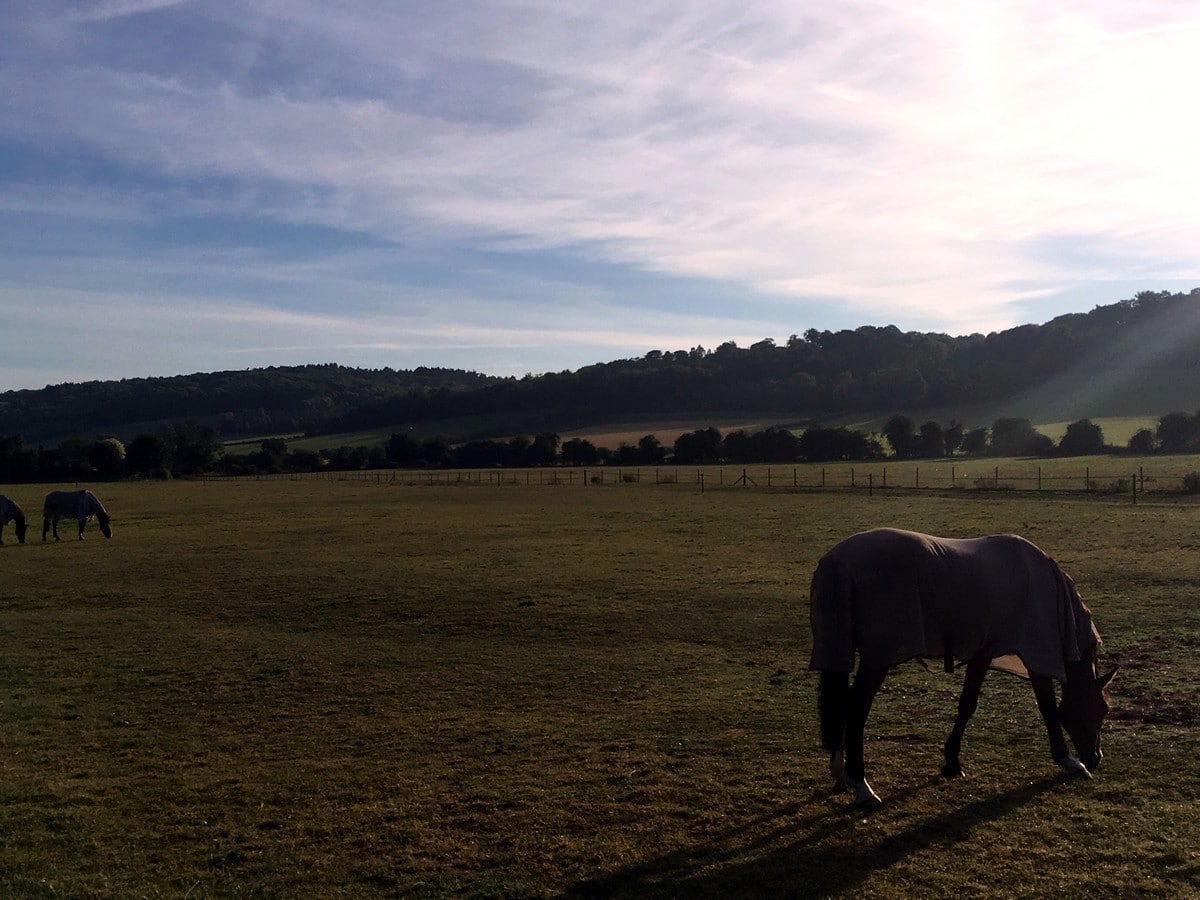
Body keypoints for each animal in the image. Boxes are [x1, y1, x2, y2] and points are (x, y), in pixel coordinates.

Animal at [811, 528, 1118, 811]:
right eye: (1103, 709)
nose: (1096, 758)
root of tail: (838, 561)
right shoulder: (1033, 650)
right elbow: (1046, 706)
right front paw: (1068, 760)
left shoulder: (983, 653)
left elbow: (967, 705)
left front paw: (951, 762)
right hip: (878, 658)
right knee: (856, 707)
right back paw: (862, 785)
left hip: (840, 648)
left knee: (841, 703)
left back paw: (842, 774)